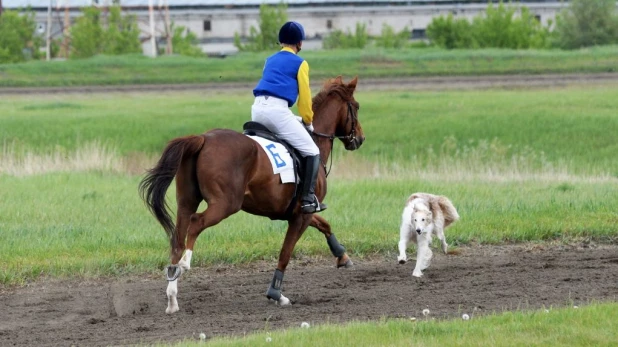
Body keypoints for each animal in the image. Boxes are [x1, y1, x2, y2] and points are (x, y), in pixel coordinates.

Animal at [137, 76, 364, 316]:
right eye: (356, 107)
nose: (360, 138)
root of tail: (203, 138)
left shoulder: (298, 211)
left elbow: (324, 224)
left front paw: (342, 255)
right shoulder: (301, 215)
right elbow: (286, 252)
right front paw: (276, 294)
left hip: (187, 201)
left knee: (178, 237)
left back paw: (172, 295)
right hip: (225, 204)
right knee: (196, 222)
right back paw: (185, 262)